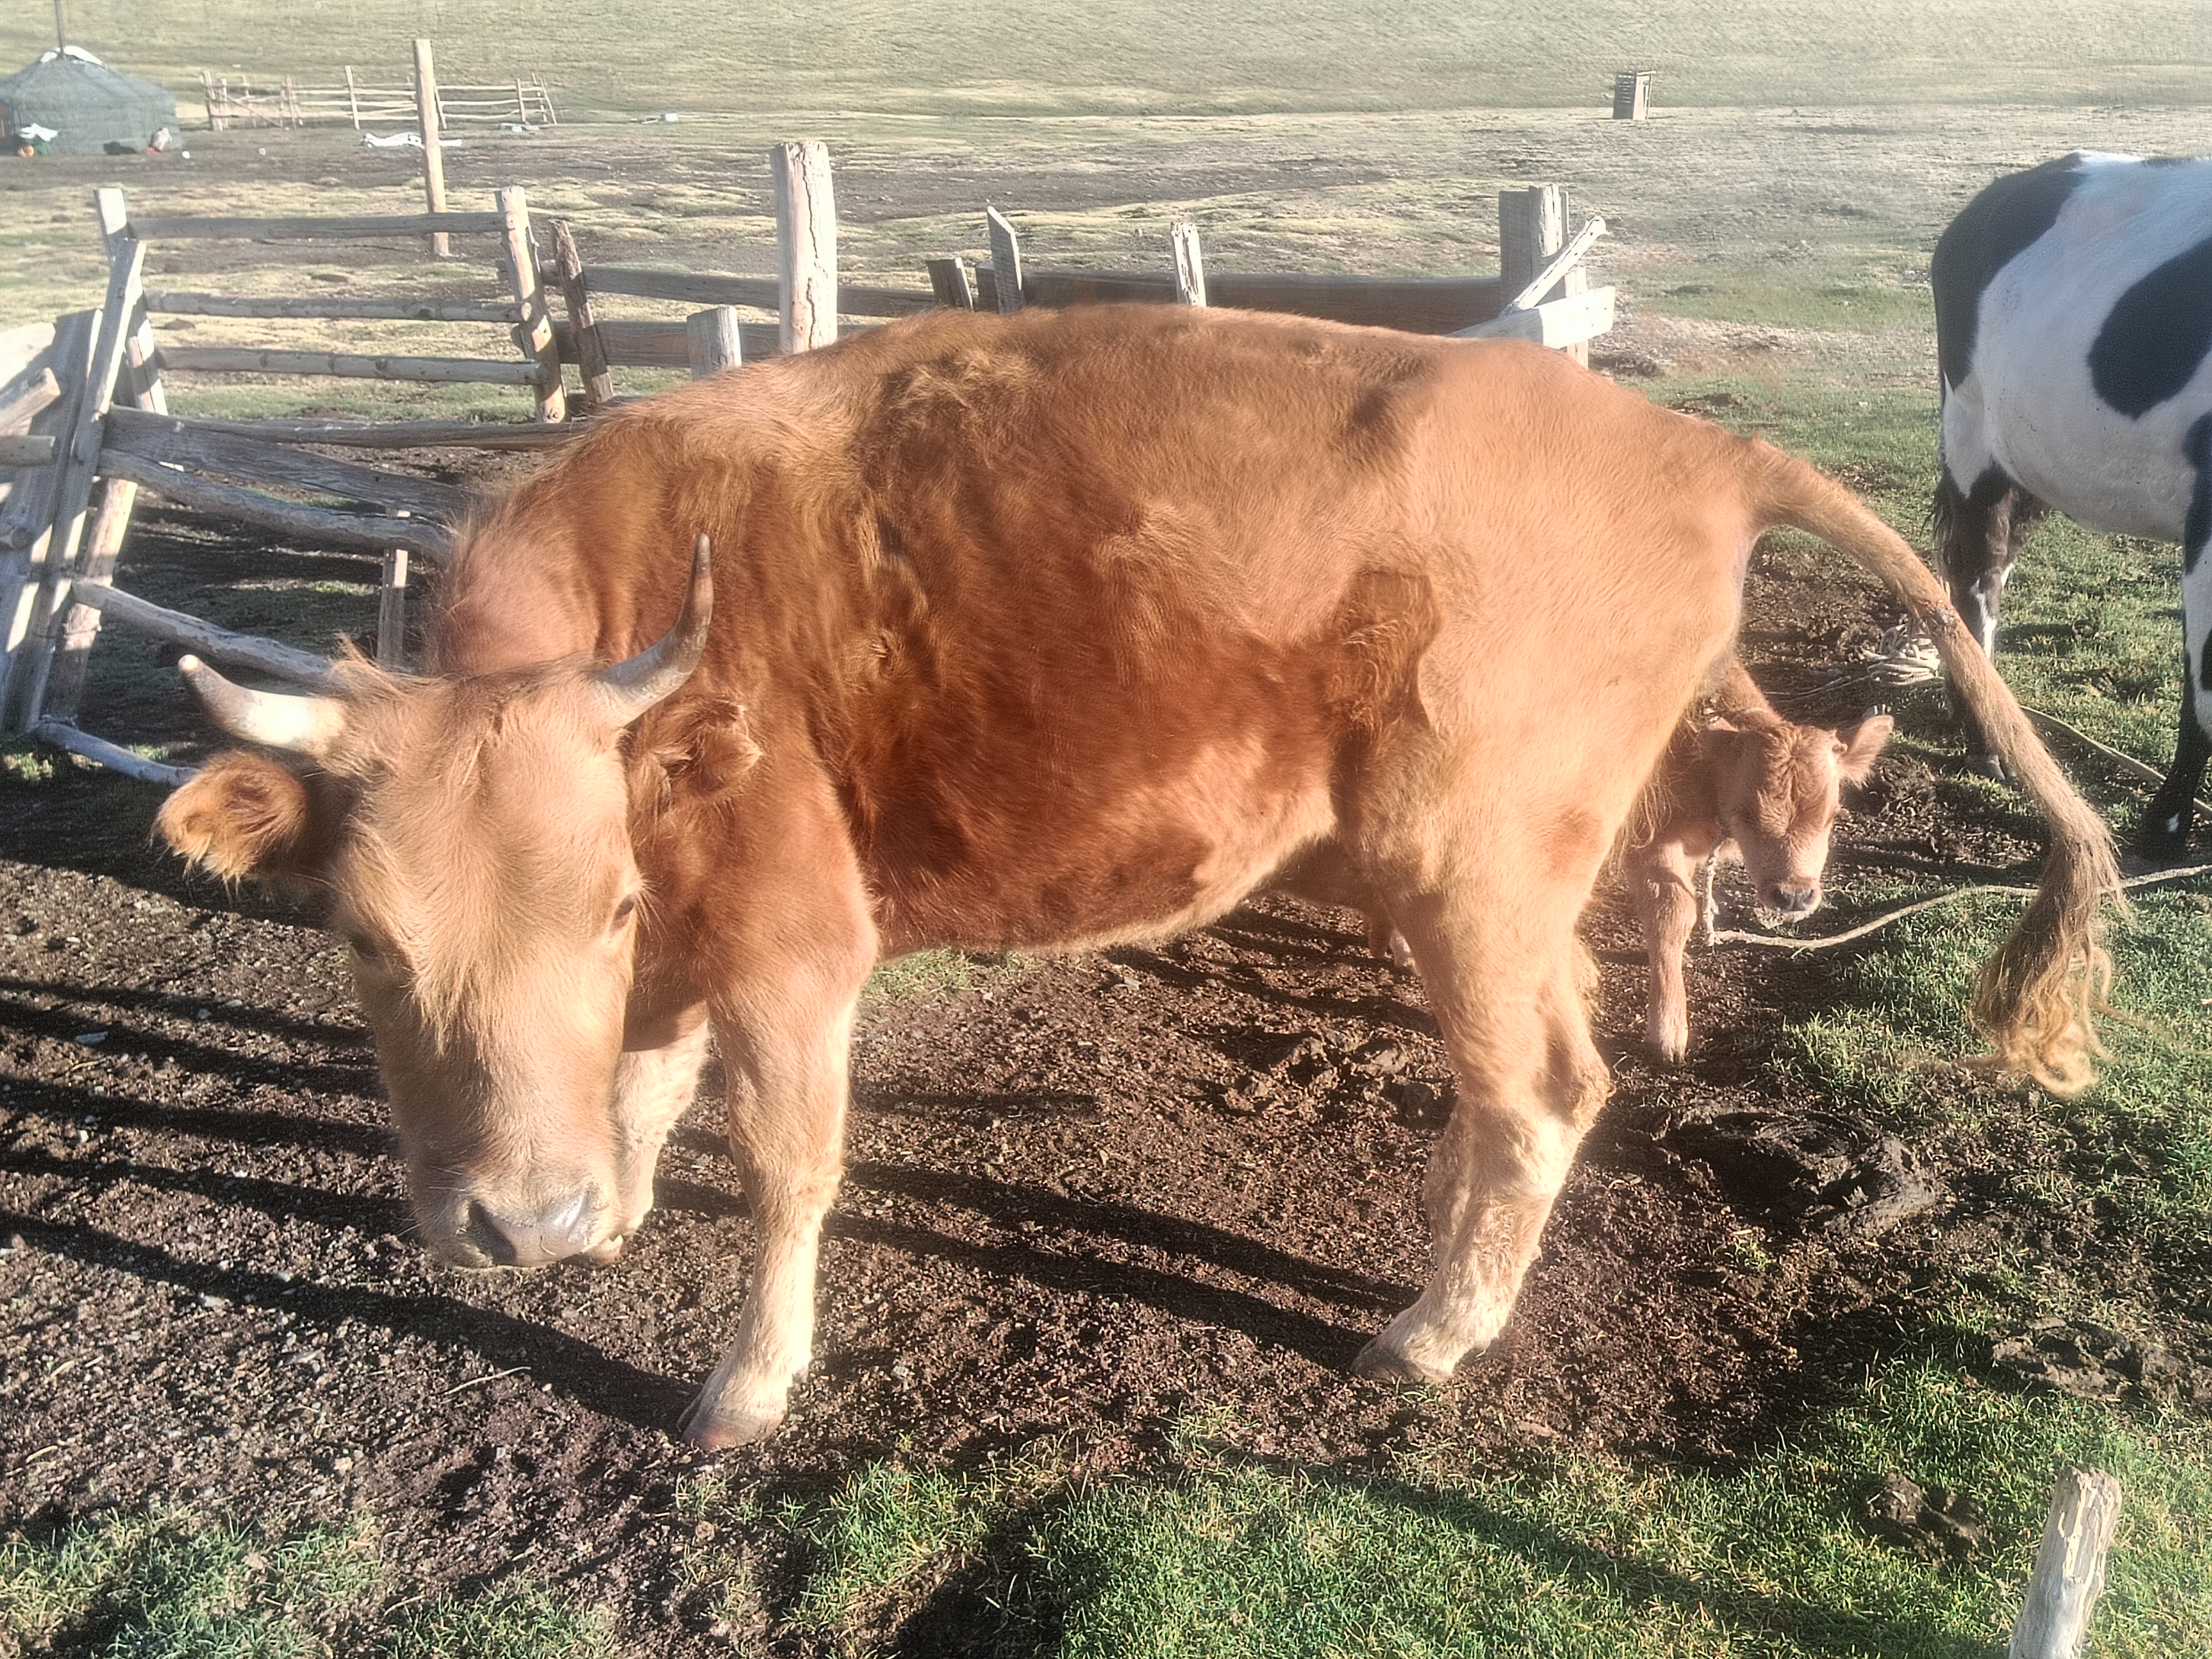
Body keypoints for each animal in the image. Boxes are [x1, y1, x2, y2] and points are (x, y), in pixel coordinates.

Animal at [1626, 658, 1892, 1061]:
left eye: (1831, 815)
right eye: (1746, 814)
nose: (1794, 895)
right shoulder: (1651, 841)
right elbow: (1672, 914)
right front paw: (1668, 1030)